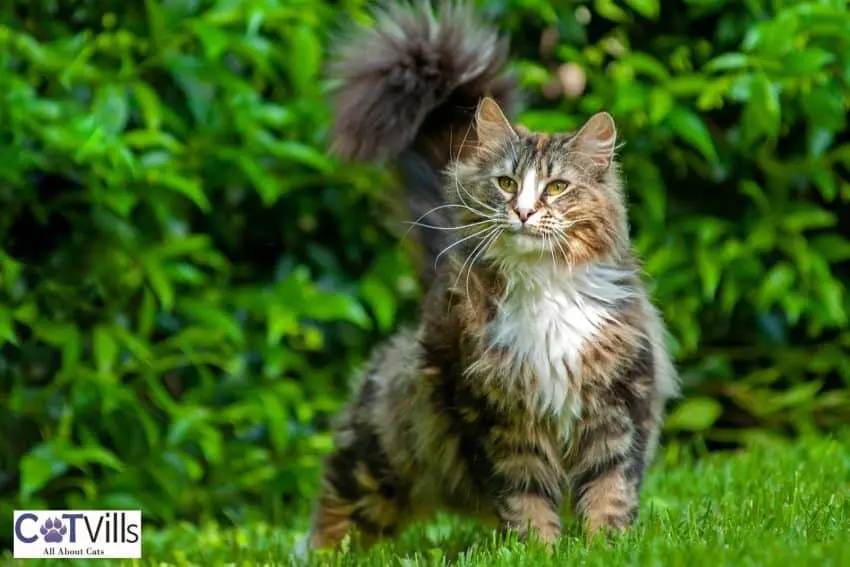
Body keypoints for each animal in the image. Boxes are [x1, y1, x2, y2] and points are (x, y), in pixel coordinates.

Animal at [294, 0, 680, 560]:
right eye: (507, 183)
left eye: (556, 187)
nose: (522, 211)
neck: (544, 292)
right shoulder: (500, 420)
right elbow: (527, 499)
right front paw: (540, 553)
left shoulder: (619, 405)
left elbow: (610, 491)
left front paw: (605, 548)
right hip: (385, 449)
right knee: (341, 498)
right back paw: (317, 553)